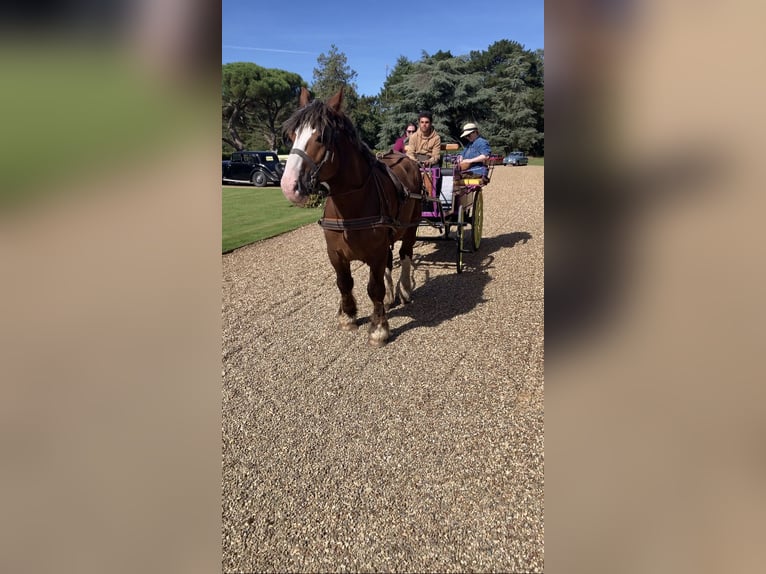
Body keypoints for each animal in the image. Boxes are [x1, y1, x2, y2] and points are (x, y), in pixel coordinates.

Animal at [284, 85, 426, 346]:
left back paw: (404, 289)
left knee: (406, 255)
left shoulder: (375, 253)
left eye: (322, 137)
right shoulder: (335, 252)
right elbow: (344, 283)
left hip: (411, 226)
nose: (289, 185)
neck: (350, 206)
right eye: (292, 135)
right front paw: (348, 315)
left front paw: (379, 328)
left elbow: (374, 288)